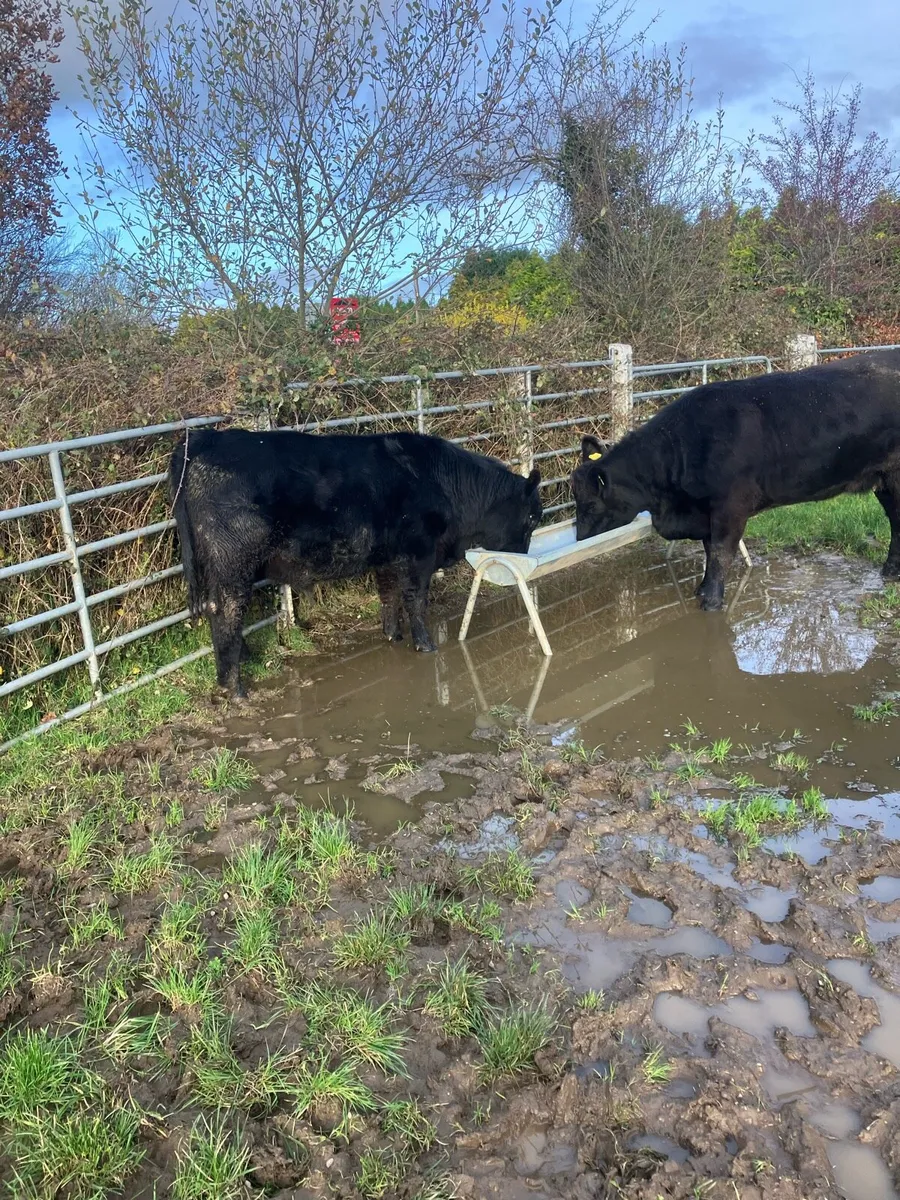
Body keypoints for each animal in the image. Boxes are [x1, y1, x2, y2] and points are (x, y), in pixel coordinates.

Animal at [169, 428, 542, 696]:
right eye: (532, 517)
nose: (522, 556)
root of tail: (205, 438)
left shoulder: (388, 557)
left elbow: (389, 595)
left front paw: (392, 635)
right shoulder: (419, 554)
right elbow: (416, 599)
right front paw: (425, 644)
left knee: (222, 610)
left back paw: (243, 661)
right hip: (233, 561)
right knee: (226, 610)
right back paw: (234, 687)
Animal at [571, 350, 900, 611]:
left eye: (590, 503)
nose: (579, 537)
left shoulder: (730, 508)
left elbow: (719, 554)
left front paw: (711, 603)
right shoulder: (705, 513)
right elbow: (708, 550)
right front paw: (701, 590)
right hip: (884, 481)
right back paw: (890, 572)